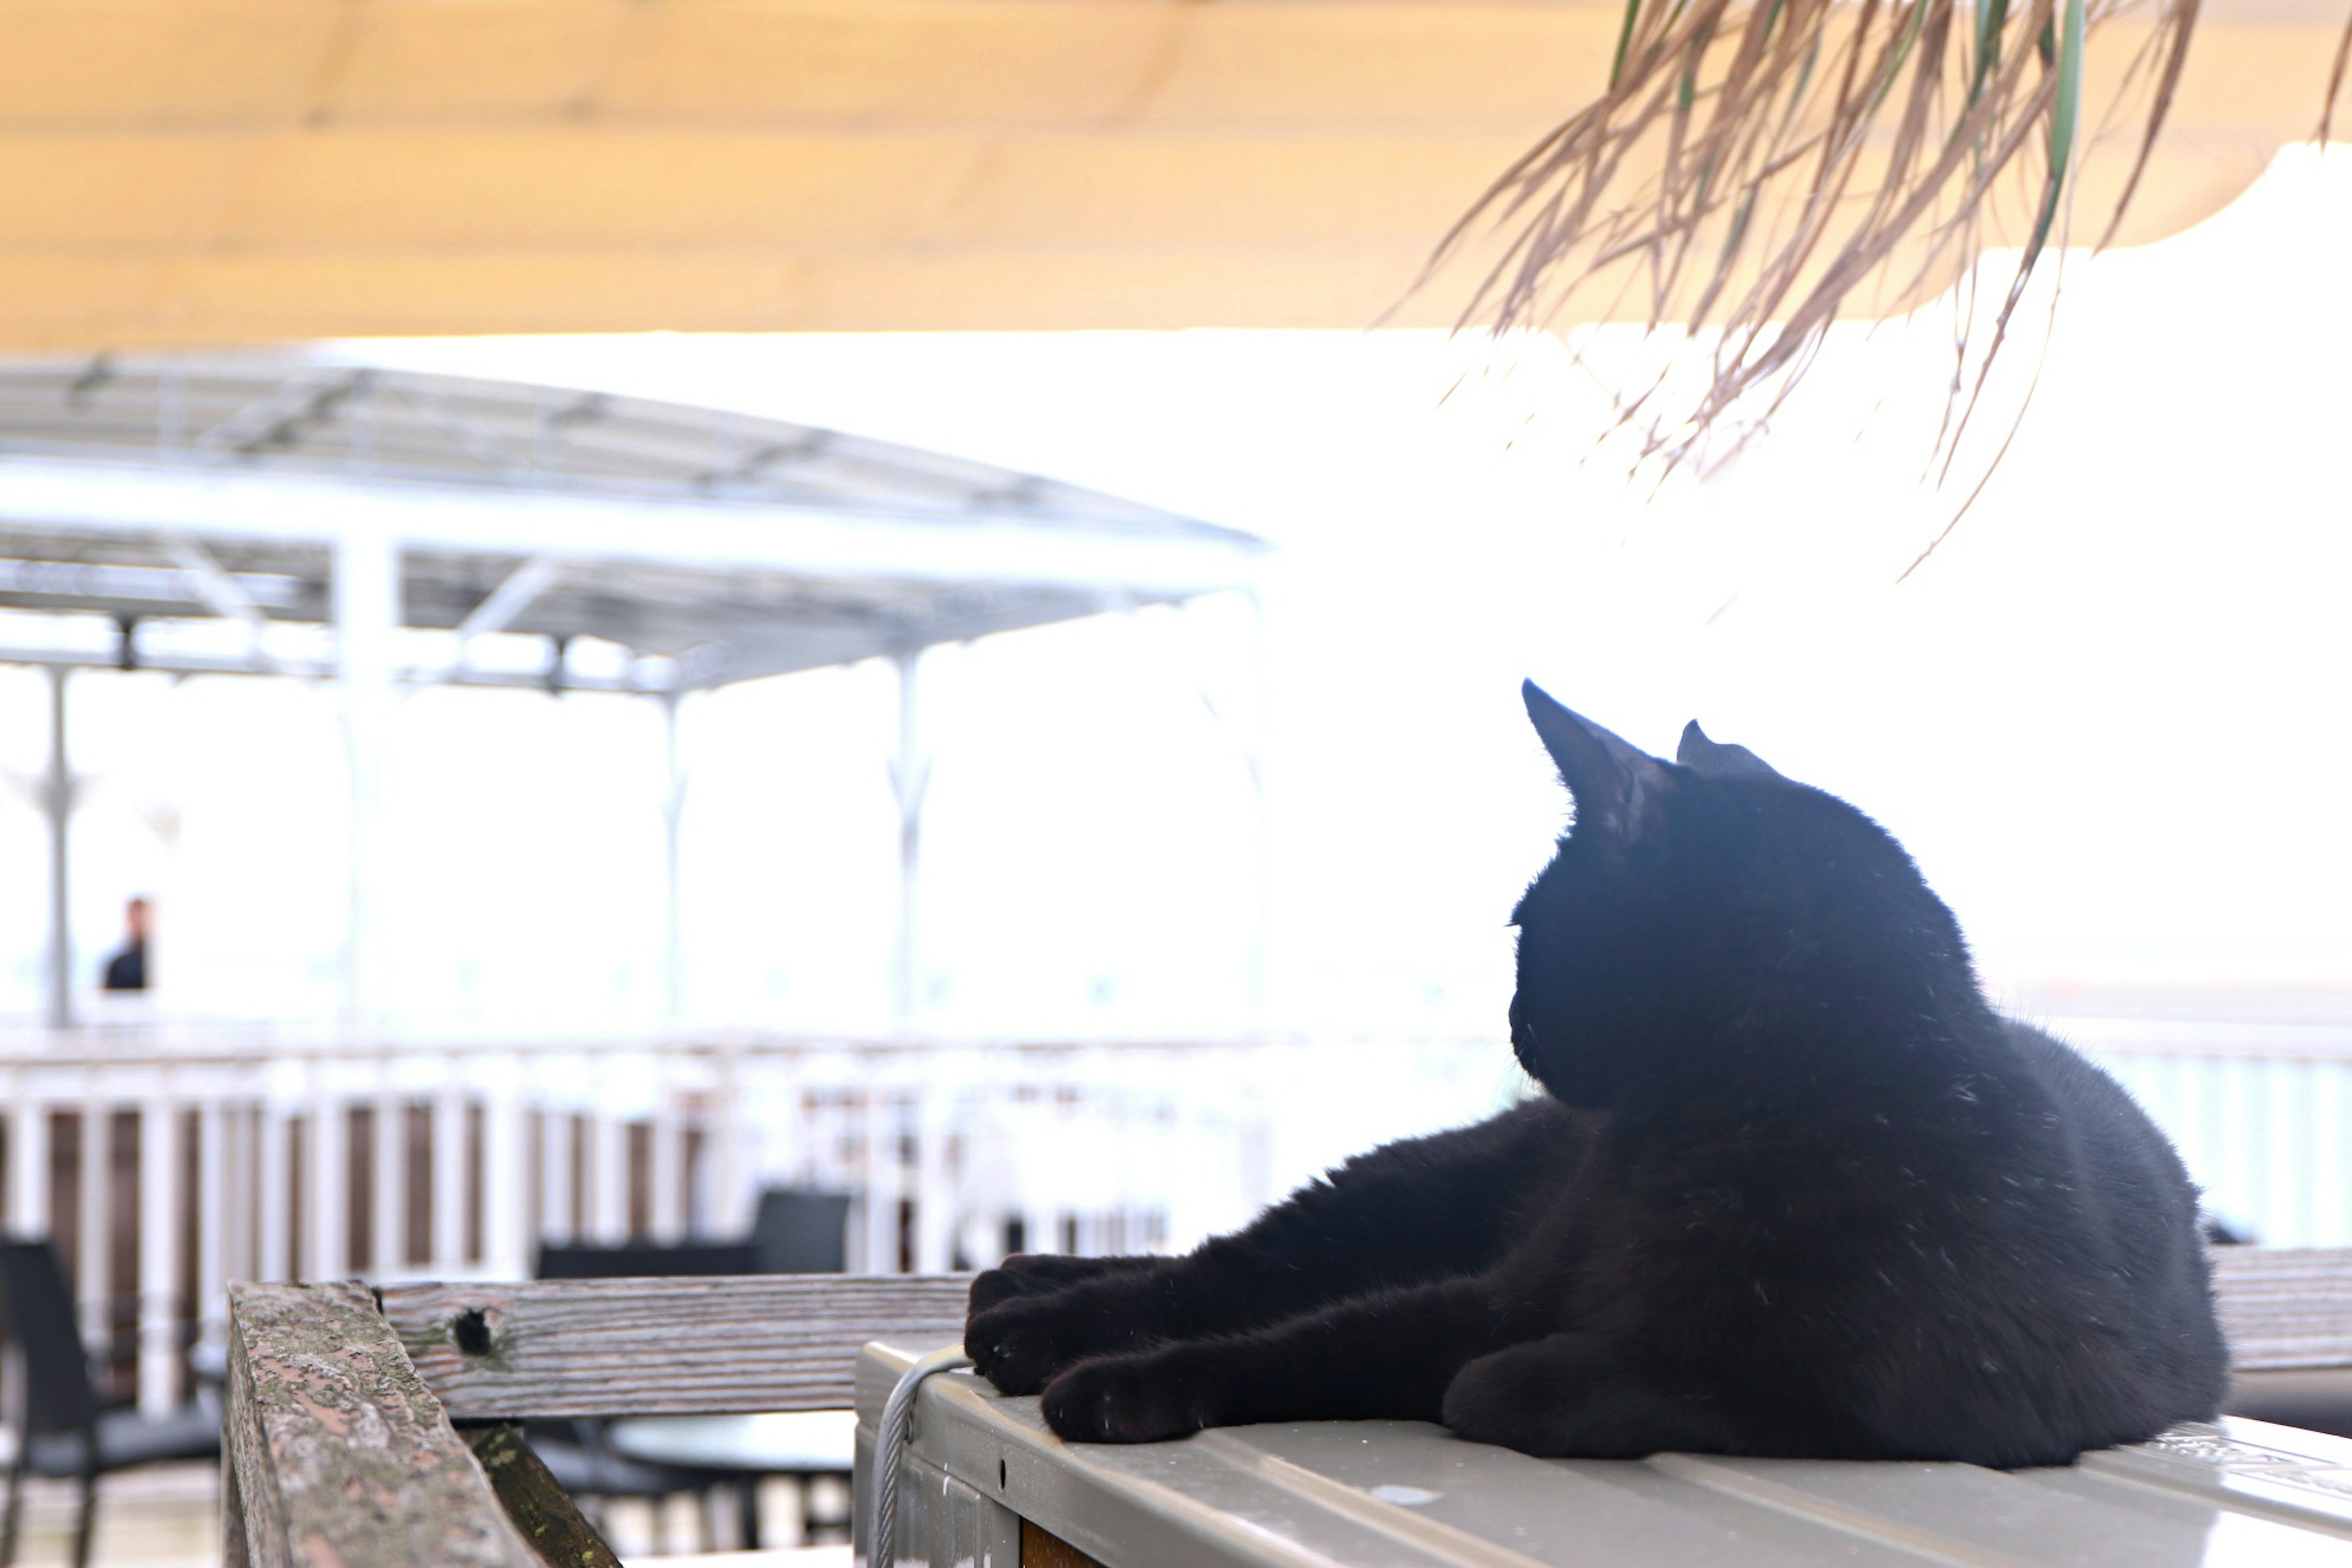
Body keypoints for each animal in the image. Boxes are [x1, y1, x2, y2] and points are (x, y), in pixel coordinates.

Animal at [964, 686, 2230, 1476]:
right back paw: (1028, 1310)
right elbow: (1301, 1346)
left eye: (1529, 926)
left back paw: (1025, 1302)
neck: (1722, 1134)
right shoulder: (1499, 1293)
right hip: (1408, 1192)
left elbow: (1562, 1379)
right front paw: (1118, 1382)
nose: (1515, 1023)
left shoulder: (1929, 1403)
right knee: (1241, 1271)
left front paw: (1502, 1386)